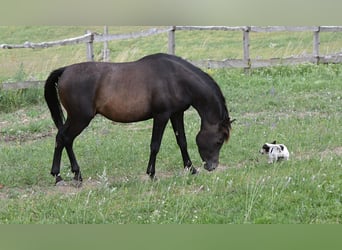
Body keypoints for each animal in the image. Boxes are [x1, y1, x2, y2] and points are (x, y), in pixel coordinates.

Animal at [44, 53, 234, 186]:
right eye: (219, 140)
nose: (212, 166)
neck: (176, 78)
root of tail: (65, 70)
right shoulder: (161, 116)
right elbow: (155, 145)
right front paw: (151, 174)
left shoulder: (176, 114)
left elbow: (182, 142)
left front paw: (191, 169)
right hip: (80, 118)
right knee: (63, 138)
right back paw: (59, 176)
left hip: (76, 118)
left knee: (66, 140)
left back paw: (75, 175)